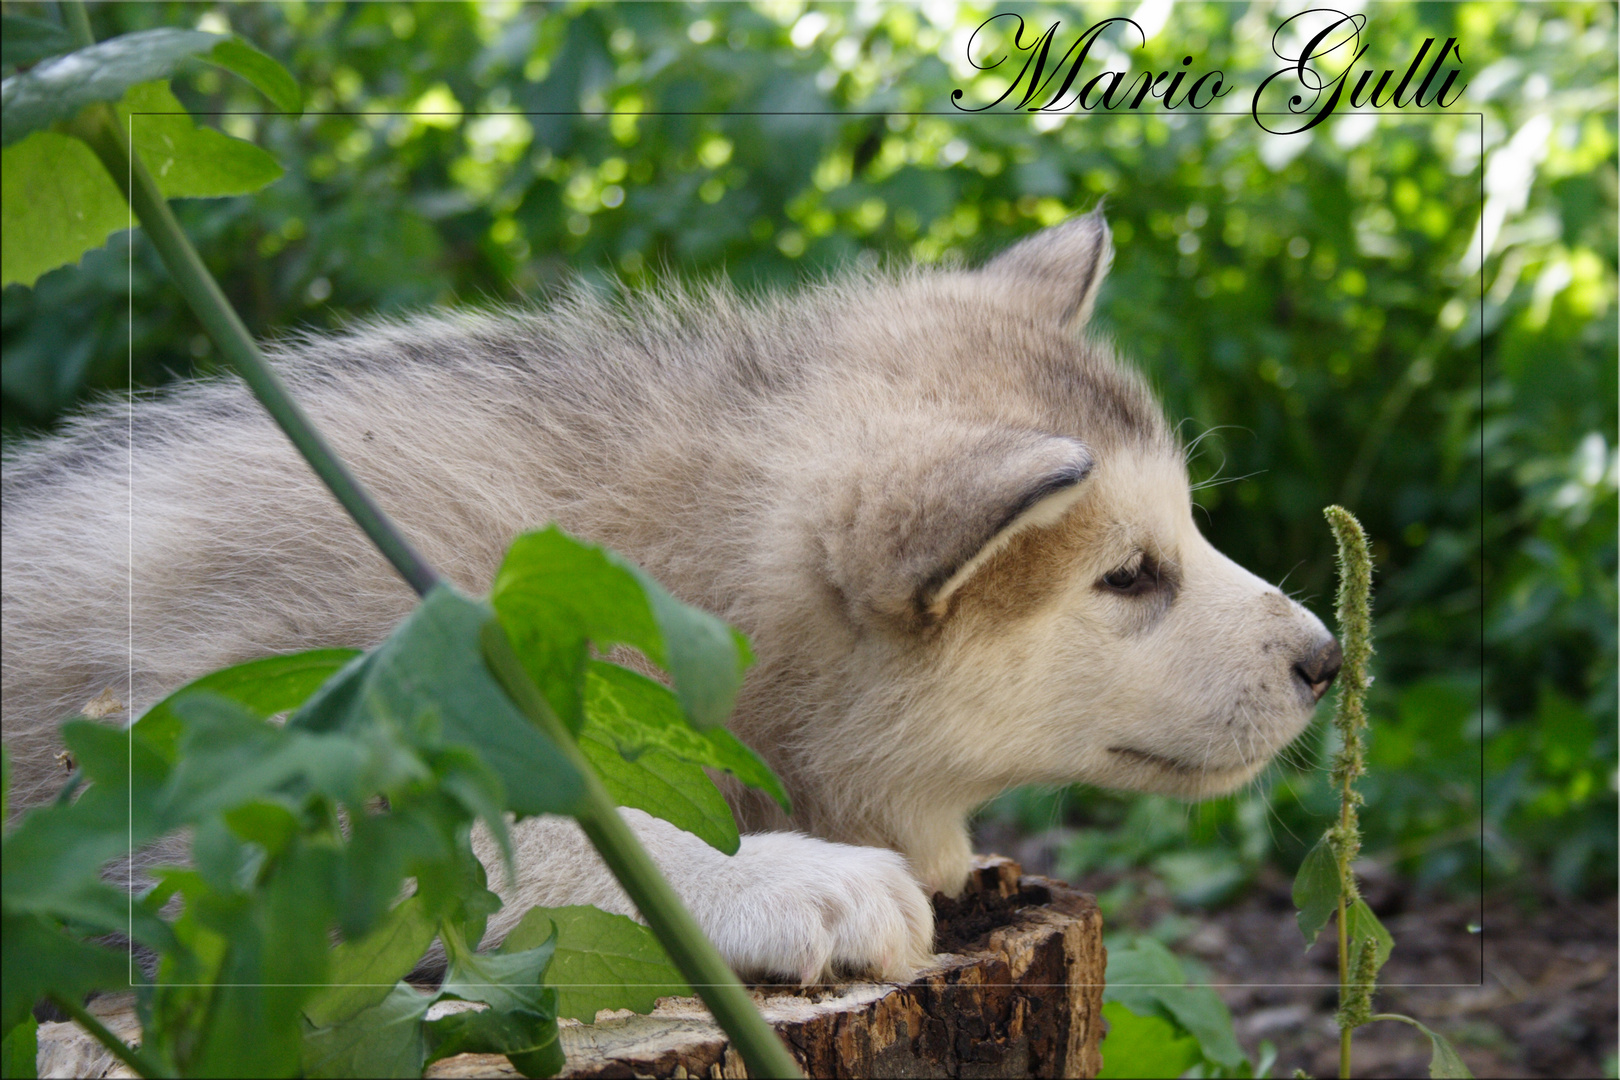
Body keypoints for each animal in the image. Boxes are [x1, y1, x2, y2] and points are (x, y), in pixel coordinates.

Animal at [3, 210, 1341, 977]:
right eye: (1129, 575)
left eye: (1186, 530)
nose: (1328, 657)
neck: (646, 566)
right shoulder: (218, 759)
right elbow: (534, 824)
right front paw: (780, 878)